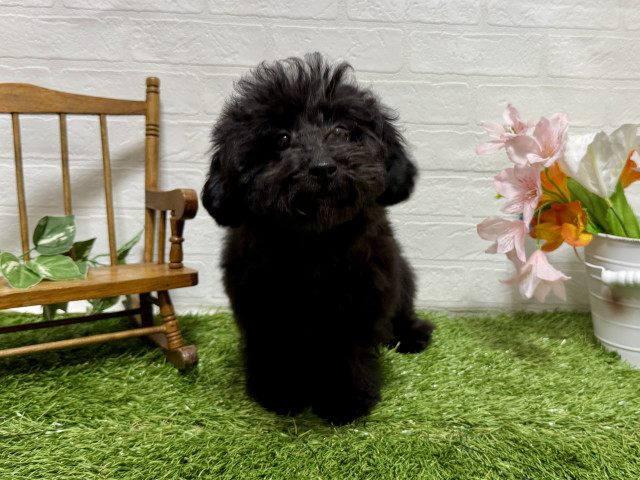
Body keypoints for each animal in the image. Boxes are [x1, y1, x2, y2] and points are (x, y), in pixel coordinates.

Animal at [202, 53, 434, 425]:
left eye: (342, 130)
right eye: (282, 139)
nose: (323, 167)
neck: (314, 242)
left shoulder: (360, 300)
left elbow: (348, 354)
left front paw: (347, 401)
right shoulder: (262, 303)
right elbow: (276, 352)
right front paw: (279, 393)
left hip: (402, 277)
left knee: (401, 311)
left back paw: (412, 334)